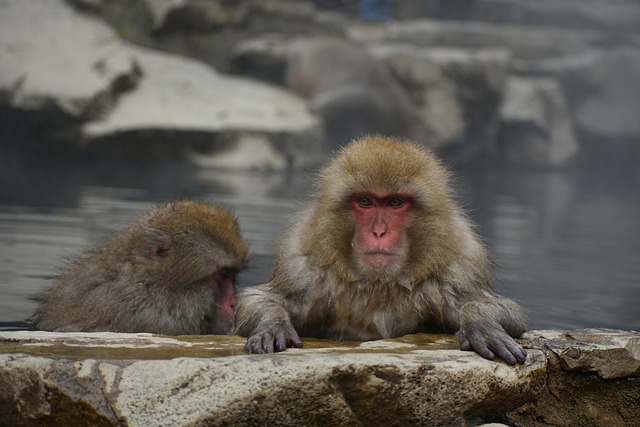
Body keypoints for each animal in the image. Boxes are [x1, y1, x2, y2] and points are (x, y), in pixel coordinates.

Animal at [238, 136, 528, 364]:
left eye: (395, 202)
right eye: (365, 201)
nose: (379, 232)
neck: (379, 283)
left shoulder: (458, 269)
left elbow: (507, 310)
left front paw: (480, 321)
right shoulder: (303, 266)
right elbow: (259, 298)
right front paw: (273, 324)